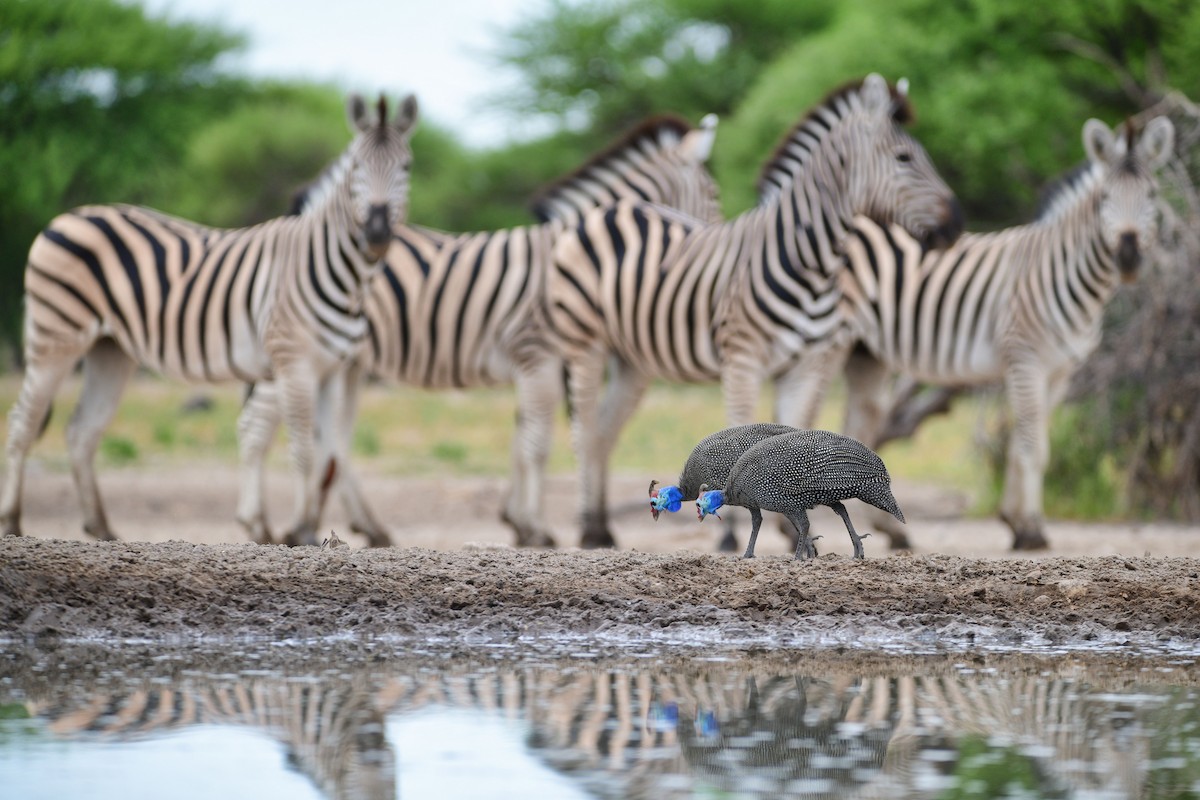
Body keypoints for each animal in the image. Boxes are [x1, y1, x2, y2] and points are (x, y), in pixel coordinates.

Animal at [2, 92, 420, 544]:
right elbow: (306, 451)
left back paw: (103, 530)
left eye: (406, 167)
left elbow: (329, 456)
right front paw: (301, 534)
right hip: (57, 335)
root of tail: (68, 216)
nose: (377, 233)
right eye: (357, 166)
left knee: (82, 431)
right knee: (24, 422)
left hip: (109, 349)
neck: (336, 270)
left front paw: (304, 528)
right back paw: (13, 522)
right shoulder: (294, 363)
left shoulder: (331, 370)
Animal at [234, 113, 720, 544]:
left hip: (345, 363)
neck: (579, 254)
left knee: (335, 441)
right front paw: (538, 528)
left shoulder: (536, 361)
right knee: (257, 428)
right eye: (713, 194)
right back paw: (257, 524)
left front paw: (518, 521)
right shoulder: (540, 353)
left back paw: (367, 527)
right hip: (302, 351)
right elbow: (540, 441)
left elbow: (525, 436)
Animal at [549, 73, 960, 551]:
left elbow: (796, 428)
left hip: (633, 361)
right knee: (580, 433)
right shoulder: (743, 356)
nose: (956, 224)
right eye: (904, 157)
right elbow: (741, 425)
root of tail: (606, 210)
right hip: (584, 344)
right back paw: (577, 527)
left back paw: (598, 527)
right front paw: (734, 533)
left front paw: (794, 529)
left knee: (603, 433)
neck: (811, 262)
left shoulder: (808, 362)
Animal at [835, 115, 1171, 551]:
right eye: (1103, 199)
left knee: (857, 426)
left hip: (865, 353)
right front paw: (1030, 529)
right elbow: (1032, 446)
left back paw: (887, 530)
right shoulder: (1024, 358)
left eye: (1153, 195)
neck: (1062, 269)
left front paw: (1015, 521)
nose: (1128, 256)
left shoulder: (1060, 370)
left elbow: (1029, 442)